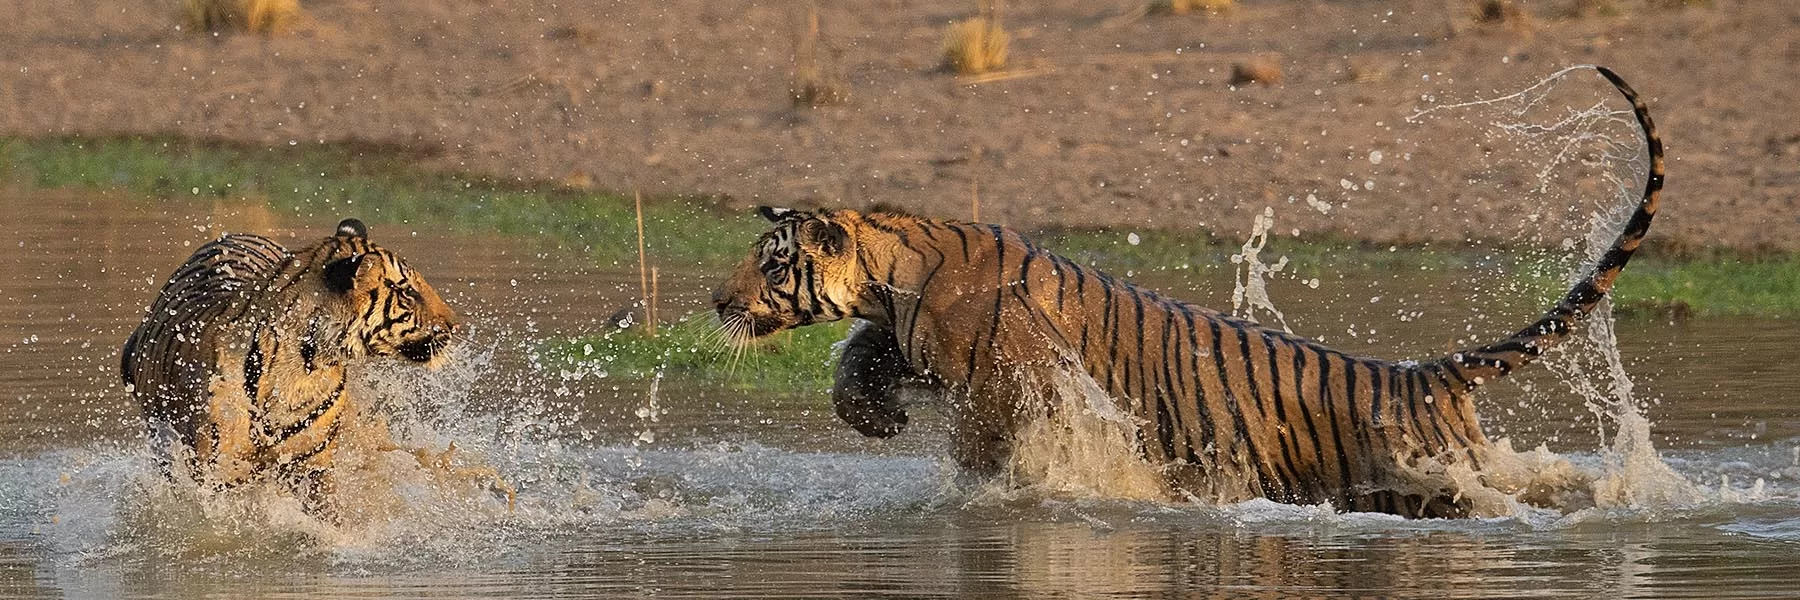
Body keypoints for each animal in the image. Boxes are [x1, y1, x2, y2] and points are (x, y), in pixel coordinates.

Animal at [121, 218, 466, 519]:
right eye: (408, 292)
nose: (455, 324)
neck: (306, 368)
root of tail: (236, 234)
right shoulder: (219, 466)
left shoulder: (313, 465)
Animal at [712, 67, 1663, 517]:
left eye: (771, 264)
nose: (718, 302)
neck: (895, 275)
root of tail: (1427, 373)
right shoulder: (904, 338)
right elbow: (858, 357)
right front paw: (870, 415)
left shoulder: (1003, 384)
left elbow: (987, 444)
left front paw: (992, 496)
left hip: (1419, 479)